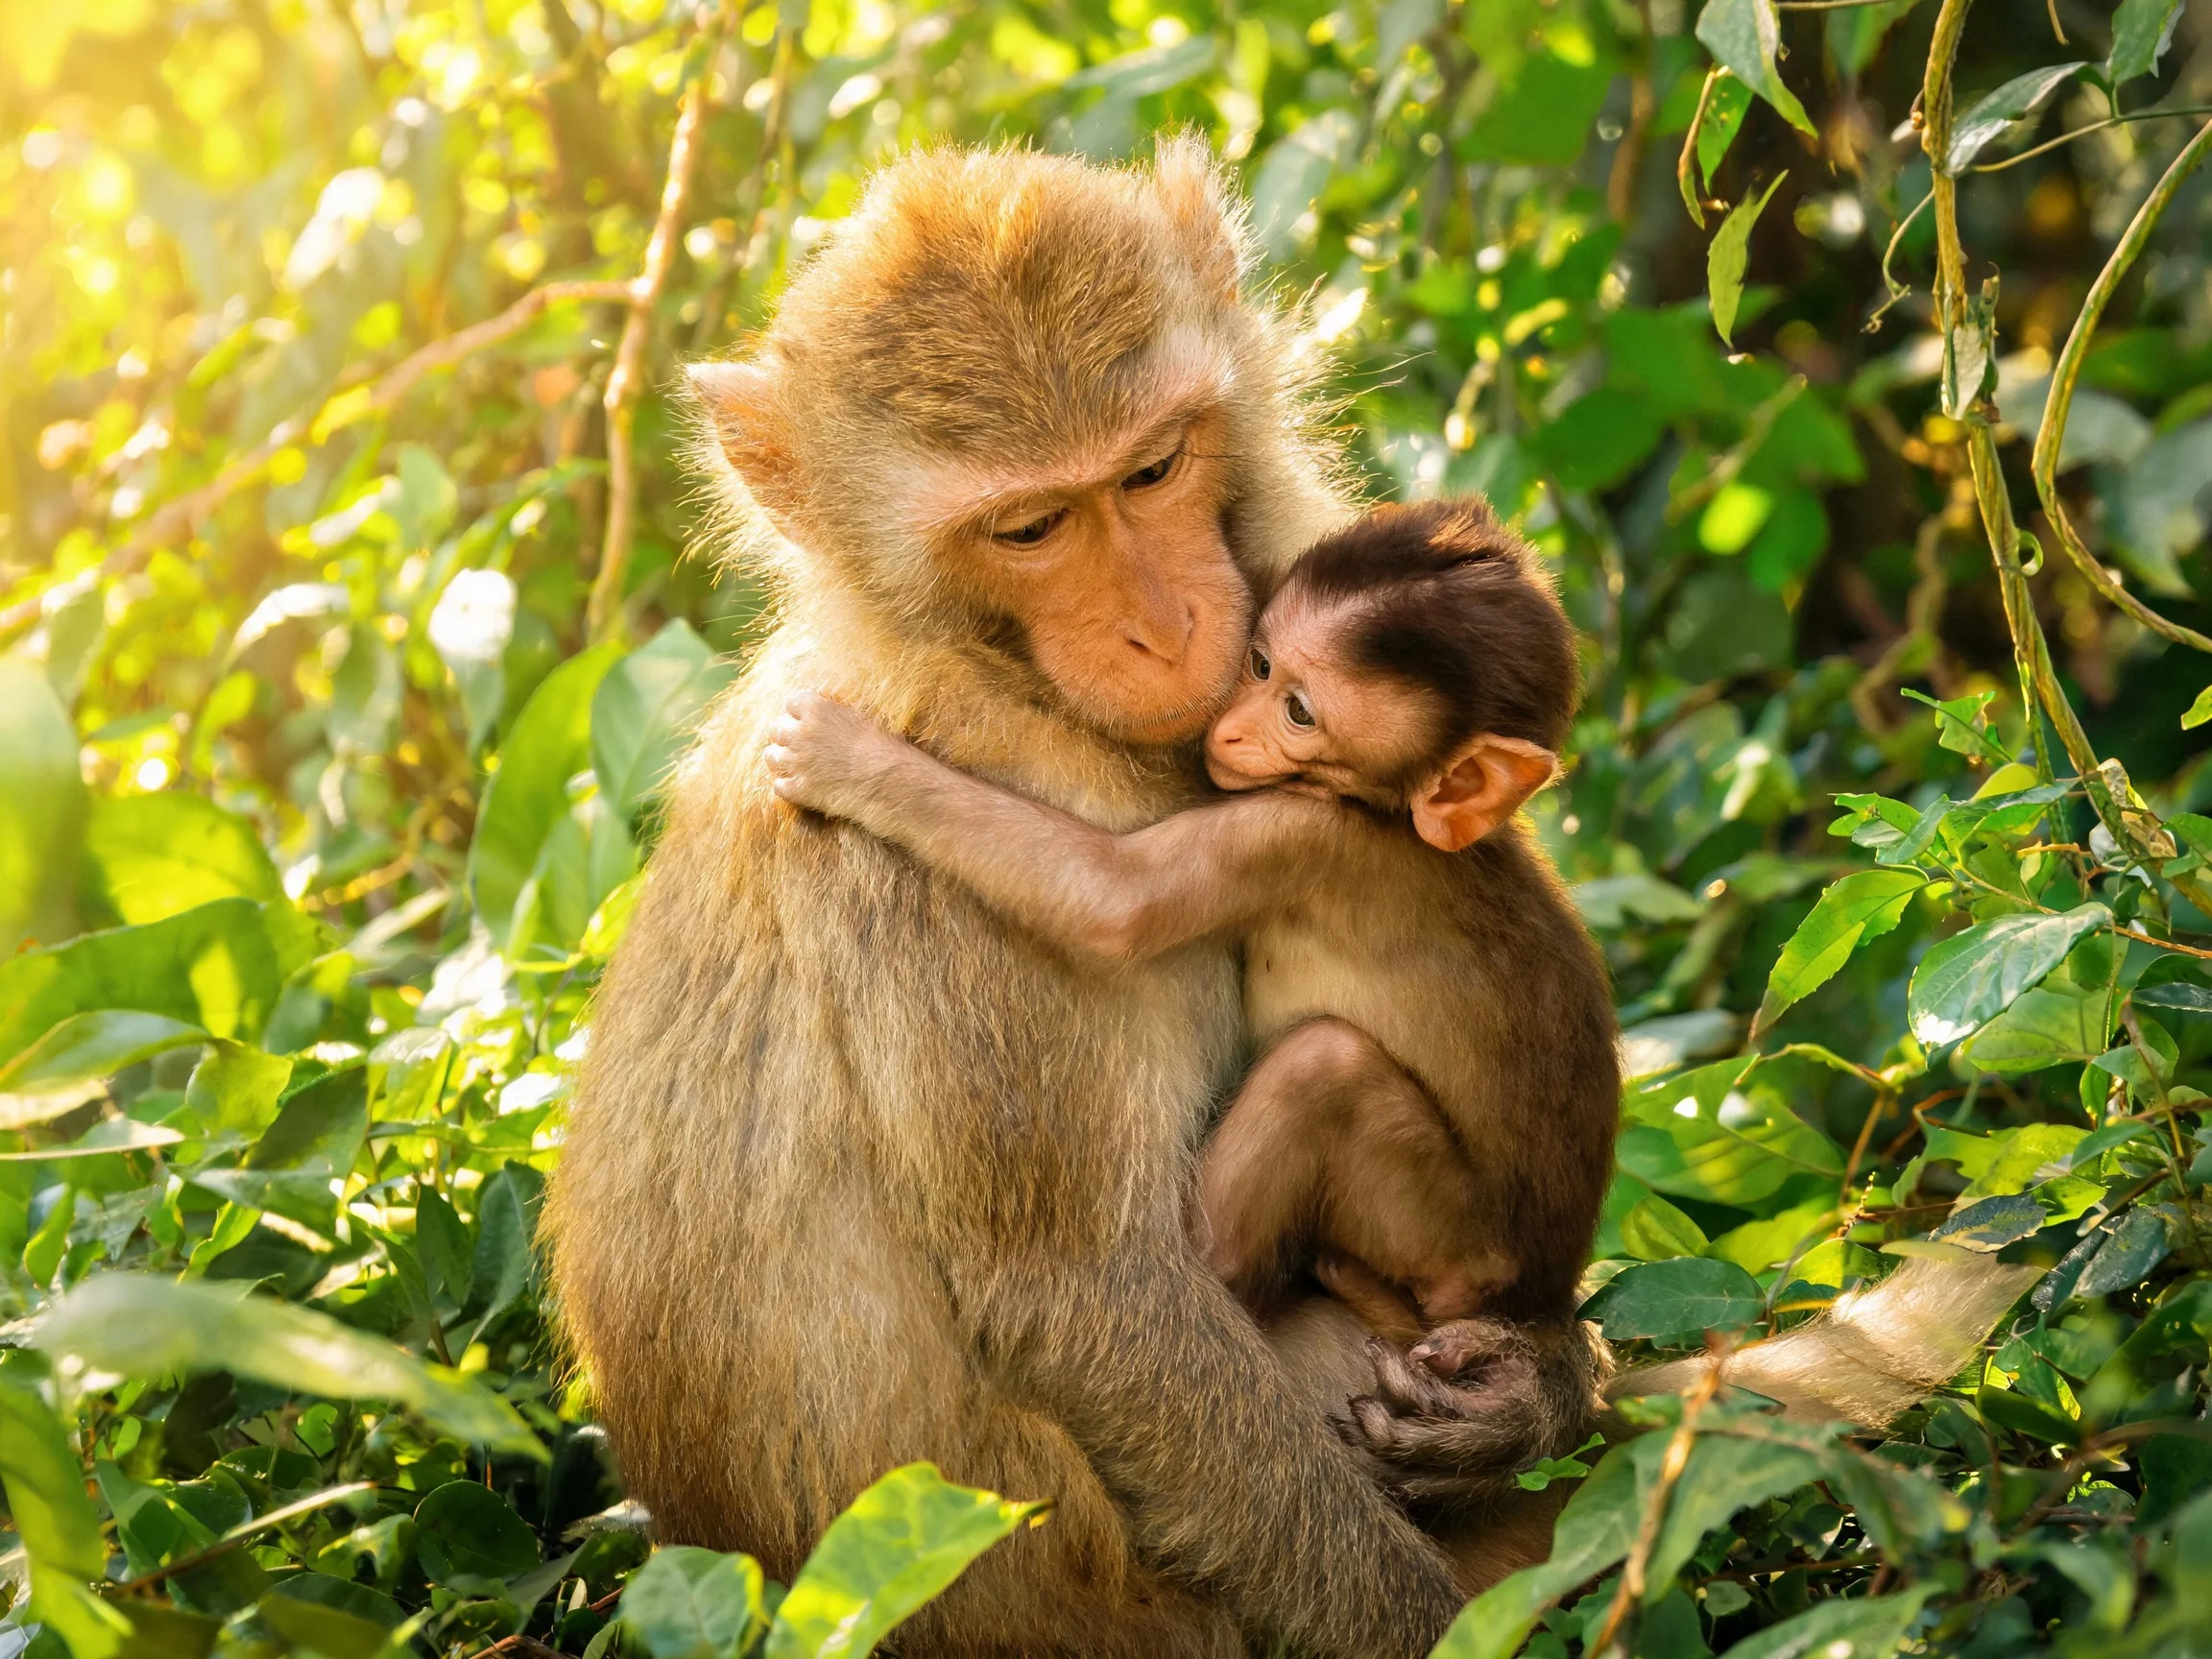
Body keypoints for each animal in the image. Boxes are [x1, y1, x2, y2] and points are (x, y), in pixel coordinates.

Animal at [758, 498, 1620, 1410]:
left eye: (1300, 712)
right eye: (1260, 664)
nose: (1232, 732)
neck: (1380, 810)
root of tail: (1536, 1295)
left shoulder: (1297, 836)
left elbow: (1115, 900)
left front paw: (848, 760)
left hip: (1448, 1241)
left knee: (1323, 1068)